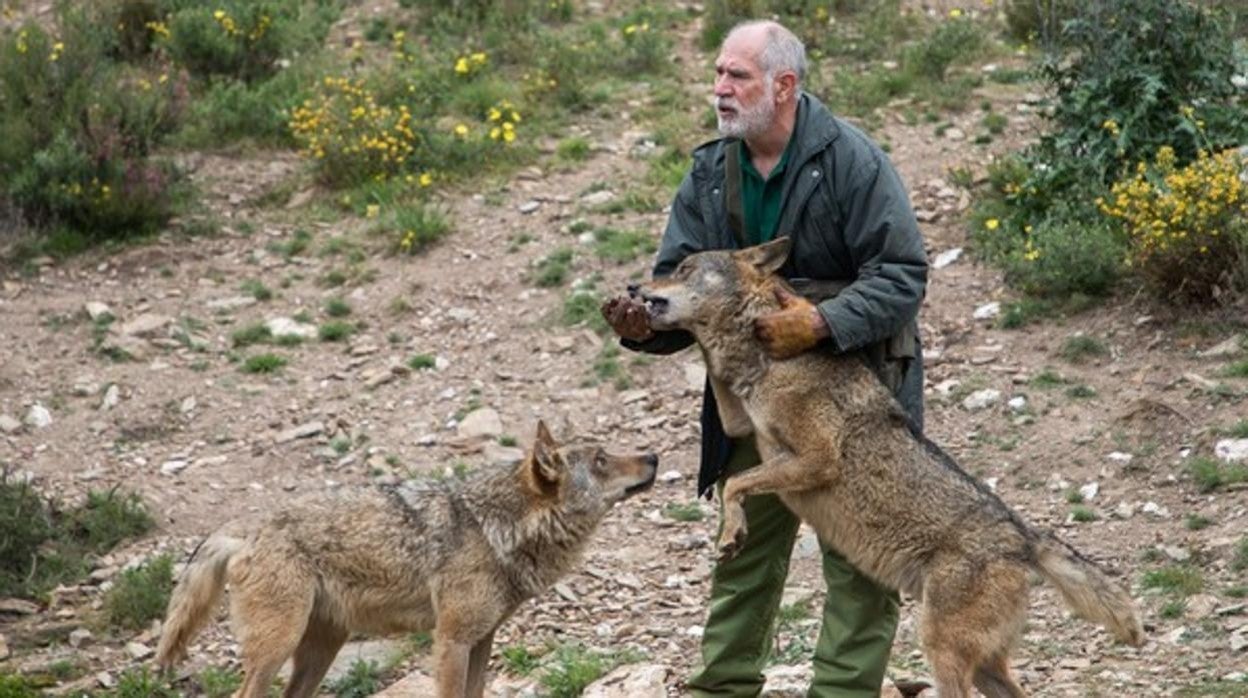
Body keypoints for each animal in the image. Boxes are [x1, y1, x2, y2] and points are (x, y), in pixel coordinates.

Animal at [154, 419, 658, 698]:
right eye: (600, 460)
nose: (653, 456)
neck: (495, 528)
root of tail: (245, 529)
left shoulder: (482, 640)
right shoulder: (451, 640)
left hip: (319, 650)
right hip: (279, 645)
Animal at [633, 238, 1143, 698]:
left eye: (684, 268)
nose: (633, 286)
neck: (769, 360)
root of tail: (1024, 537)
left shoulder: (815, 458)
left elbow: (734, 483)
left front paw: (731, 534)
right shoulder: (743, 424)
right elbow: (732, 465)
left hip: (941, 649)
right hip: (981, 664)